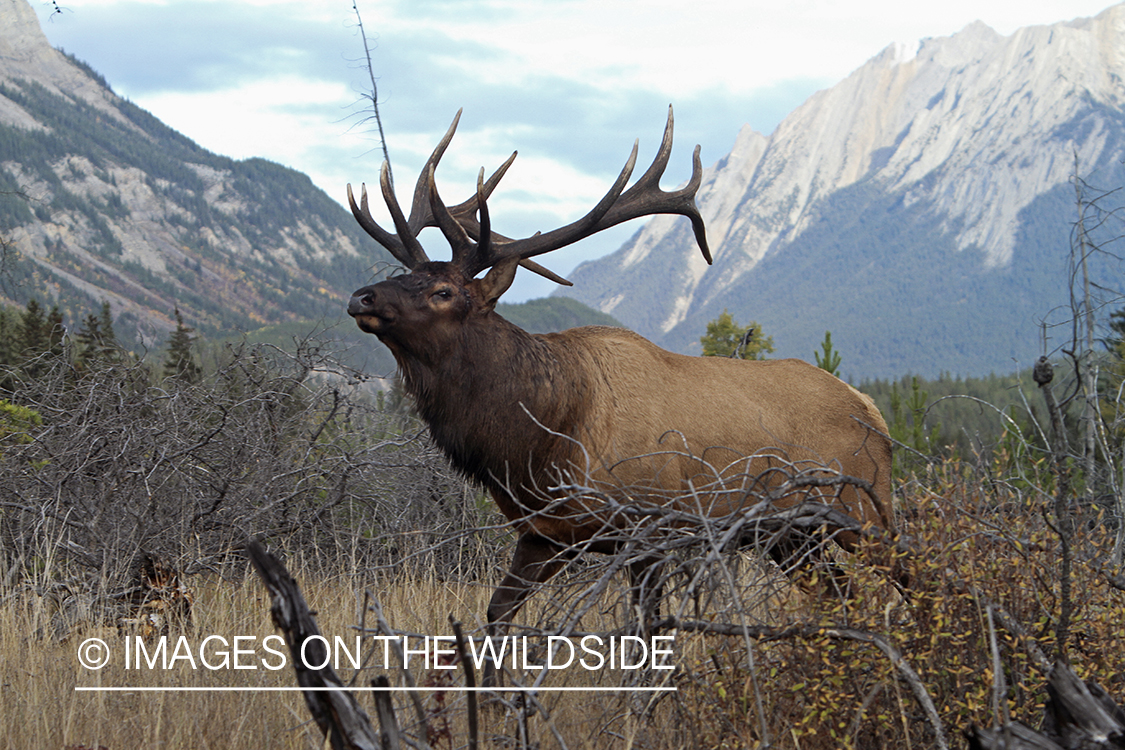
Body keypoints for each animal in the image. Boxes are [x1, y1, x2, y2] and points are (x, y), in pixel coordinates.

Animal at [346, 110, 891, 679]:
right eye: (402, 274)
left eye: (444, 291)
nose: (362, 296)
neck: (541, 443)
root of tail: (871, 408)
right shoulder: (544, 534)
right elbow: (496, 614)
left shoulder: (649, 529)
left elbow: (648, 633)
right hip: (792, 536)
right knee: (841, 595)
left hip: (866, 510)